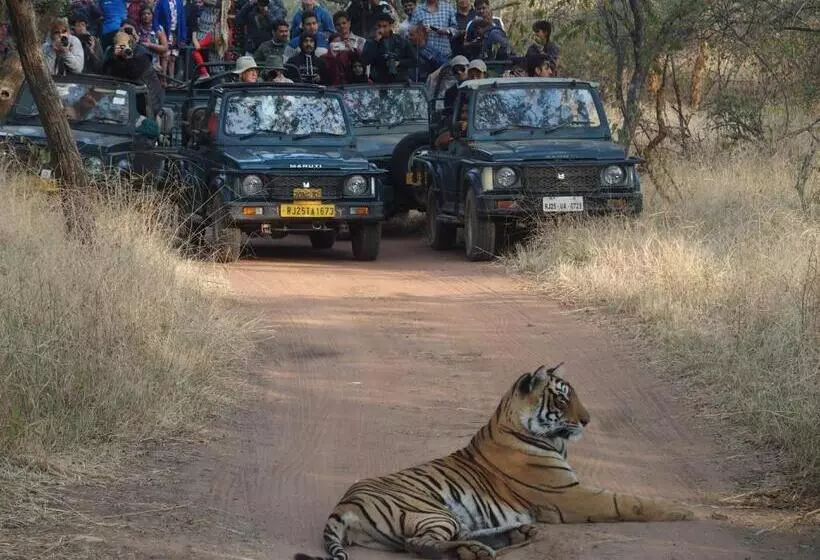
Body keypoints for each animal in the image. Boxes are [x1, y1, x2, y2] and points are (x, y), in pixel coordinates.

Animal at [294, 363, 694, 560]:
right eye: (563, 398)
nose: (587, 420)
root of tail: (342, 505)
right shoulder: (572, 495)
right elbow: (628, 501)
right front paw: (683, 510)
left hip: (441, 518)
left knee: (433, 541)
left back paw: (513, 536)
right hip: (431, 511)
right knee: (422, 546)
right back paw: (483, 551)